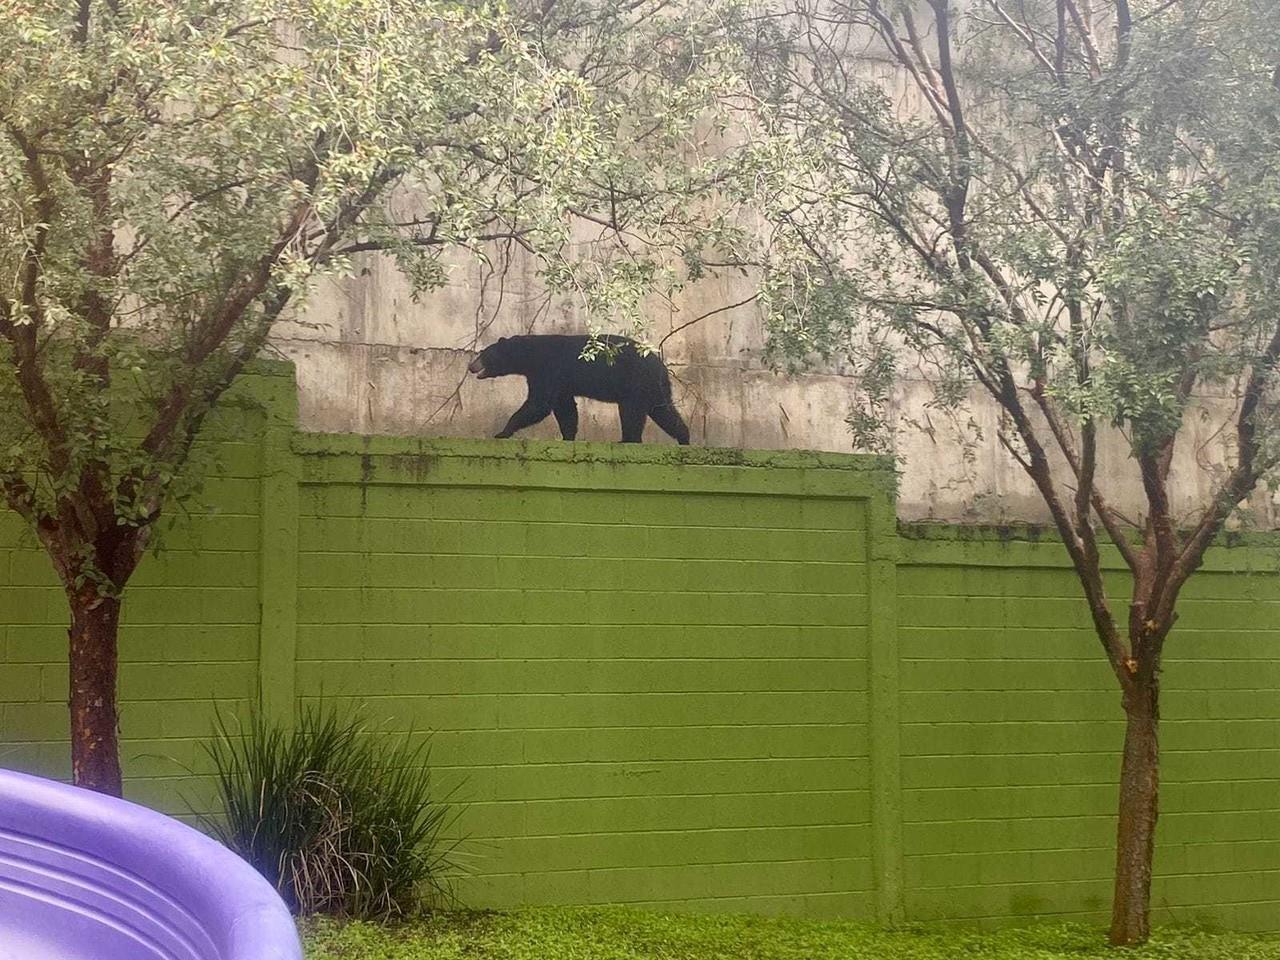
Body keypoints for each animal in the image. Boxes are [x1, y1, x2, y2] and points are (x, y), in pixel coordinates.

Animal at [468, 335, 691, 445]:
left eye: (482, 353)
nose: (470, 366)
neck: (530, 354)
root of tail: (662, 366)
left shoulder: (548, 368)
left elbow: (539, 404)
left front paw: (502, 432)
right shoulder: (560, 382)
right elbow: (565, 408)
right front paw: (568, 437)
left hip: (636, 382)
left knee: (632, 412)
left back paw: (628, 439)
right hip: (653, 388)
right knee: (664, 411)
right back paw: (684, 438)